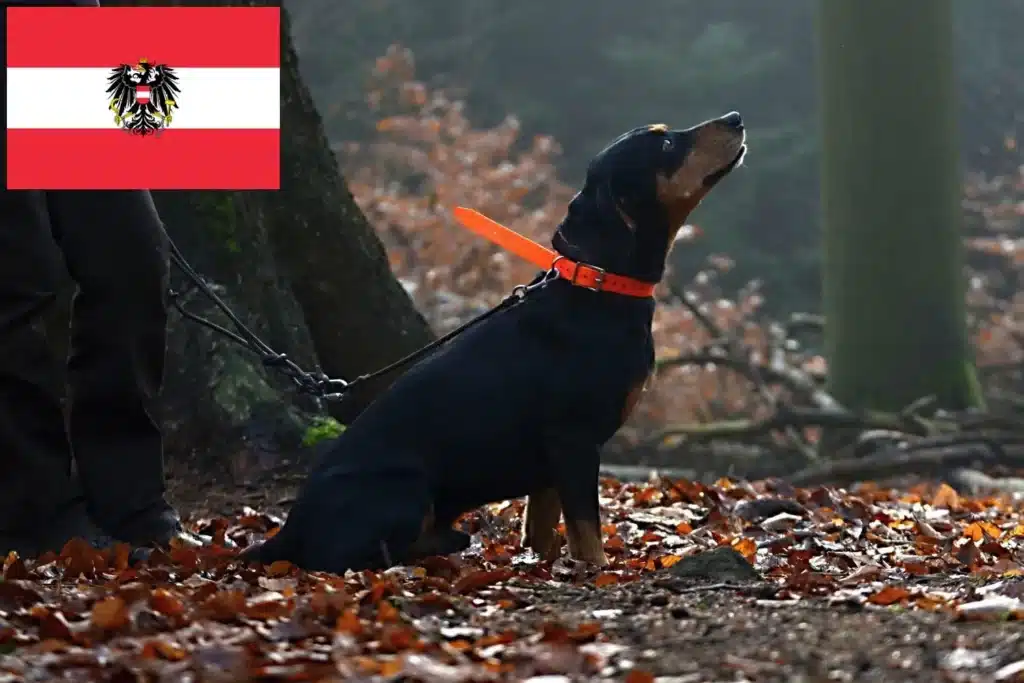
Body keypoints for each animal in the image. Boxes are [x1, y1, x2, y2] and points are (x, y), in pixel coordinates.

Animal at [245, 112, 745, 573]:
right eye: (665, 145)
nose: (735, 118)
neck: (600, 287)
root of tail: (287, 532)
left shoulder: (551, 461)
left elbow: (542, 528)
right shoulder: (574, 440)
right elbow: (587, 529)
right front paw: (600, 571)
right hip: (405, 488)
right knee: (353, 557)